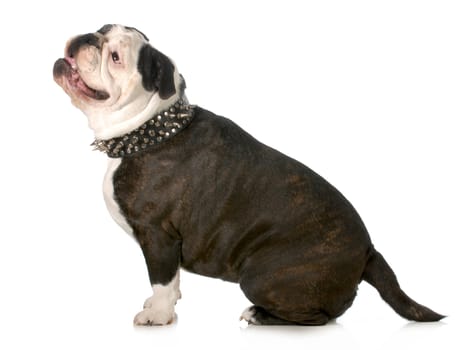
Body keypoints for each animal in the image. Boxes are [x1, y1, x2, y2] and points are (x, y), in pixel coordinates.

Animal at [53, 24, 444, 326]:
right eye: (102, 29)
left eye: (115, 57)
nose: (87, 38)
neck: (151, 126)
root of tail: (369, 251)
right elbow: (172, 281)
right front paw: (165, 305)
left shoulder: (158, 235)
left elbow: (160, 279)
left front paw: (158, 316)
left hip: (260, 275)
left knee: (322, 317)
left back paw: (258, 315)